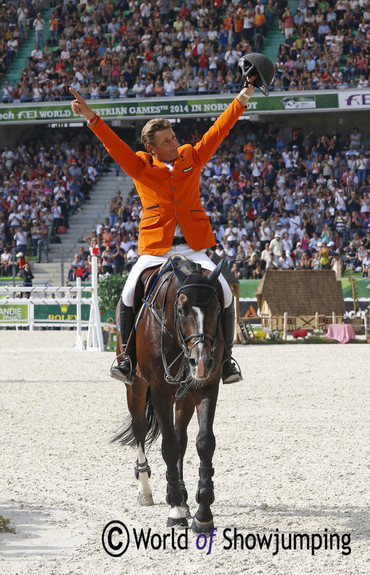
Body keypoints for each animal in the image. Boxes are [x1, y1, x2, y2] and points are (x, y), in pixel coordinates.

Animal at [111, 258, 224, 536]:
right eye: (181, 310)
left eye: (218, 309)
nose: (201, 362)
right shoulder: (160, 391)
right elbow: (169, 446)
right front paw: (175, 512)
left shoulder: (207, 387)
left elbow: (204, 442)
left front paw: (202, 514)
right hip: (136, 388)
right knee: (140, 429)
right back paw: (146, 490)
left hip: (184, 397)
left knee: (181, 436)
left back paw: (183, 498)